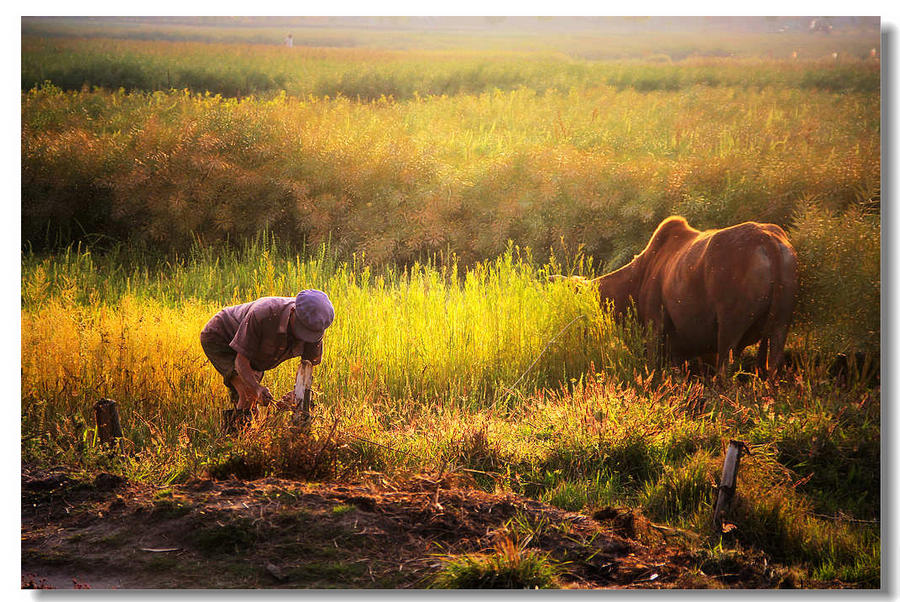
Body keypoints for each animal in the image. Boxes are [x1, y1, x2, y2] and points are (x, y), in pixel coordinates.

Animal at [560, 214, 800, 376]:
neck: (637, 279)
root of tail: (766, 238)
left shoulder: (655, 329)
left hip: (730, 328)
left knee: (725, 373)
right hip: (780, 326)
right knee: (772, 366)